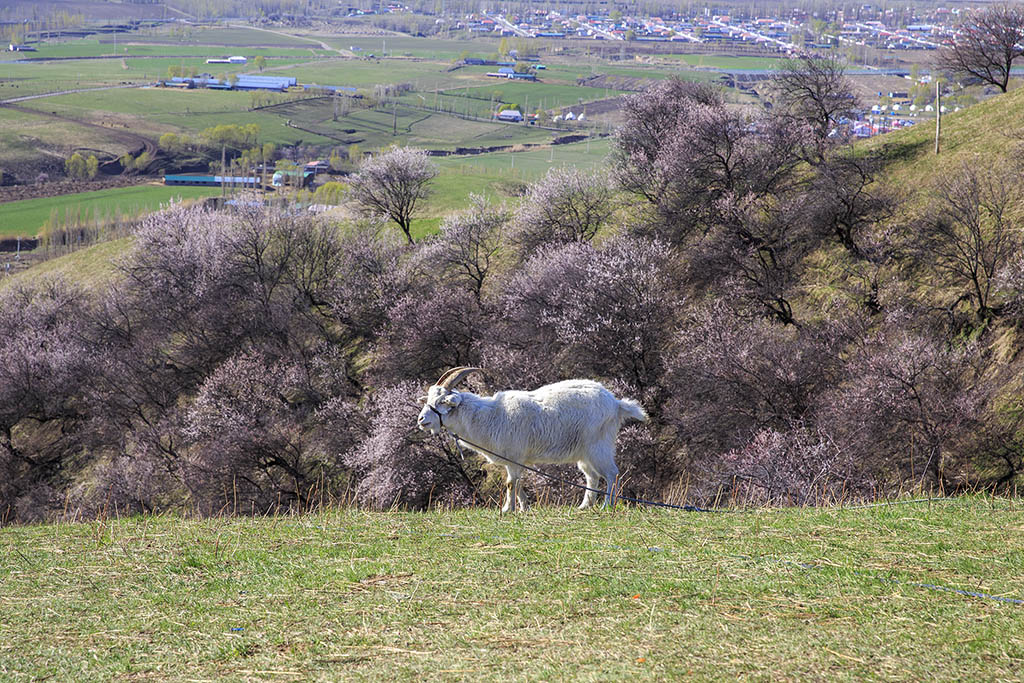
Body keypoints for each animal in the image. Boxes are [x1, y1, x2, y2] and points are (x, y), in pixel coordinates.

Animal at [415, 368, 647, 511]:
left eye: (441, 401)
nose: (421, 420)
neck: (490, 416)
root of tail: (616, 404)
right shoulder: (514, 461)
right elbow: (517, 484)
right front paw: (524, 507)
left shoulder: (514, 456)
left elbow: (511, 484)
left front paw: (507, 510)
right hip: (584, 453)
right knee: (592, 476)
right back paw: (584, 506)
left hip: (598, 446)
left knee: (611, 473)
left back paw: (607, 505)